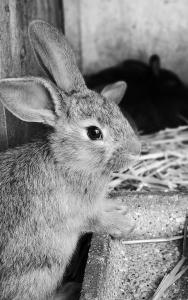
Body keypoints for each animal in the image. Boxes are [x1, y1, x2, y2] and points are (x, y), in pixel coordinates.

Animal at [0, 19, 141, 298]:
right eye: (94, 132)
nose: (136, 150)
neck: (68, 162)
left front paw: (117, 206)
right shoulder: (77, 213)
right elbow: (97, 221)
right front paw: (123, 223)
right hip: (42, 269)